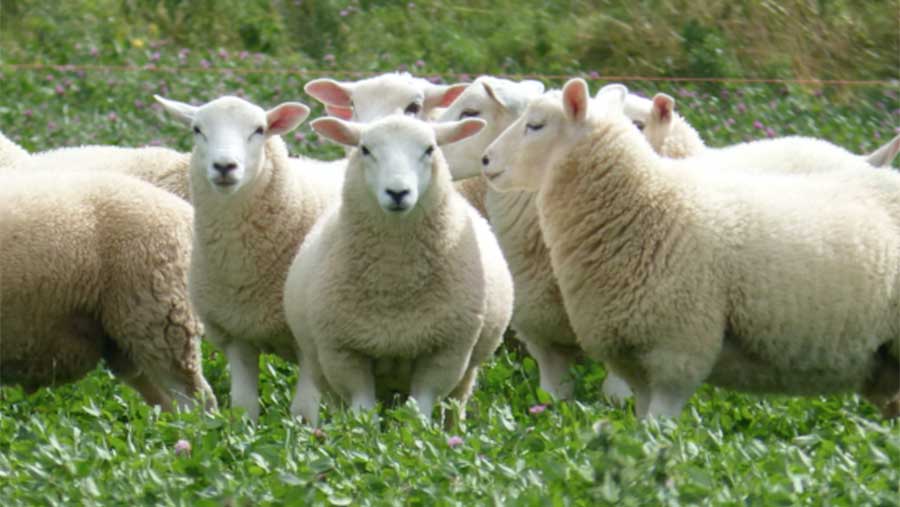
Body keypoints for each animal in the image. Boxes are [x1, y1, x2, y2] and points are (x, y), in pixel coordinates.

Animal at [156, 94, 342, 420]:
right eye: (197, 129)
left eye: (259, 130)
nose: (224, 166)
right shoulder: (237, 334)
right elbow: (244, 408)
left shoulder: (308, 339)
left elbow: (302, 412)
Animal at [284, 113, 516, 426]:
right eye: (365, 149)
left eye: (430, 149)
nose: (397, 192)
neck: (396, 280)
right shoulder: (343, 353)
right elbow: (363, 413)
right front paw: (362, 435)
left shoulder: (446, 353)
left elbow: (418, 413)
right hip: (321, 367)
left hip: (466, 371)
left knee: (454, 405)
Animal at [482, 78, 900, 420]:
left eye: (536, 125)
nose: (486, 159)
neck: (646, 203)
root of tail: (873, 165)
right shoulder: (635, 358)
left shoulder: (677, 351)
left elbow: (658, 429)